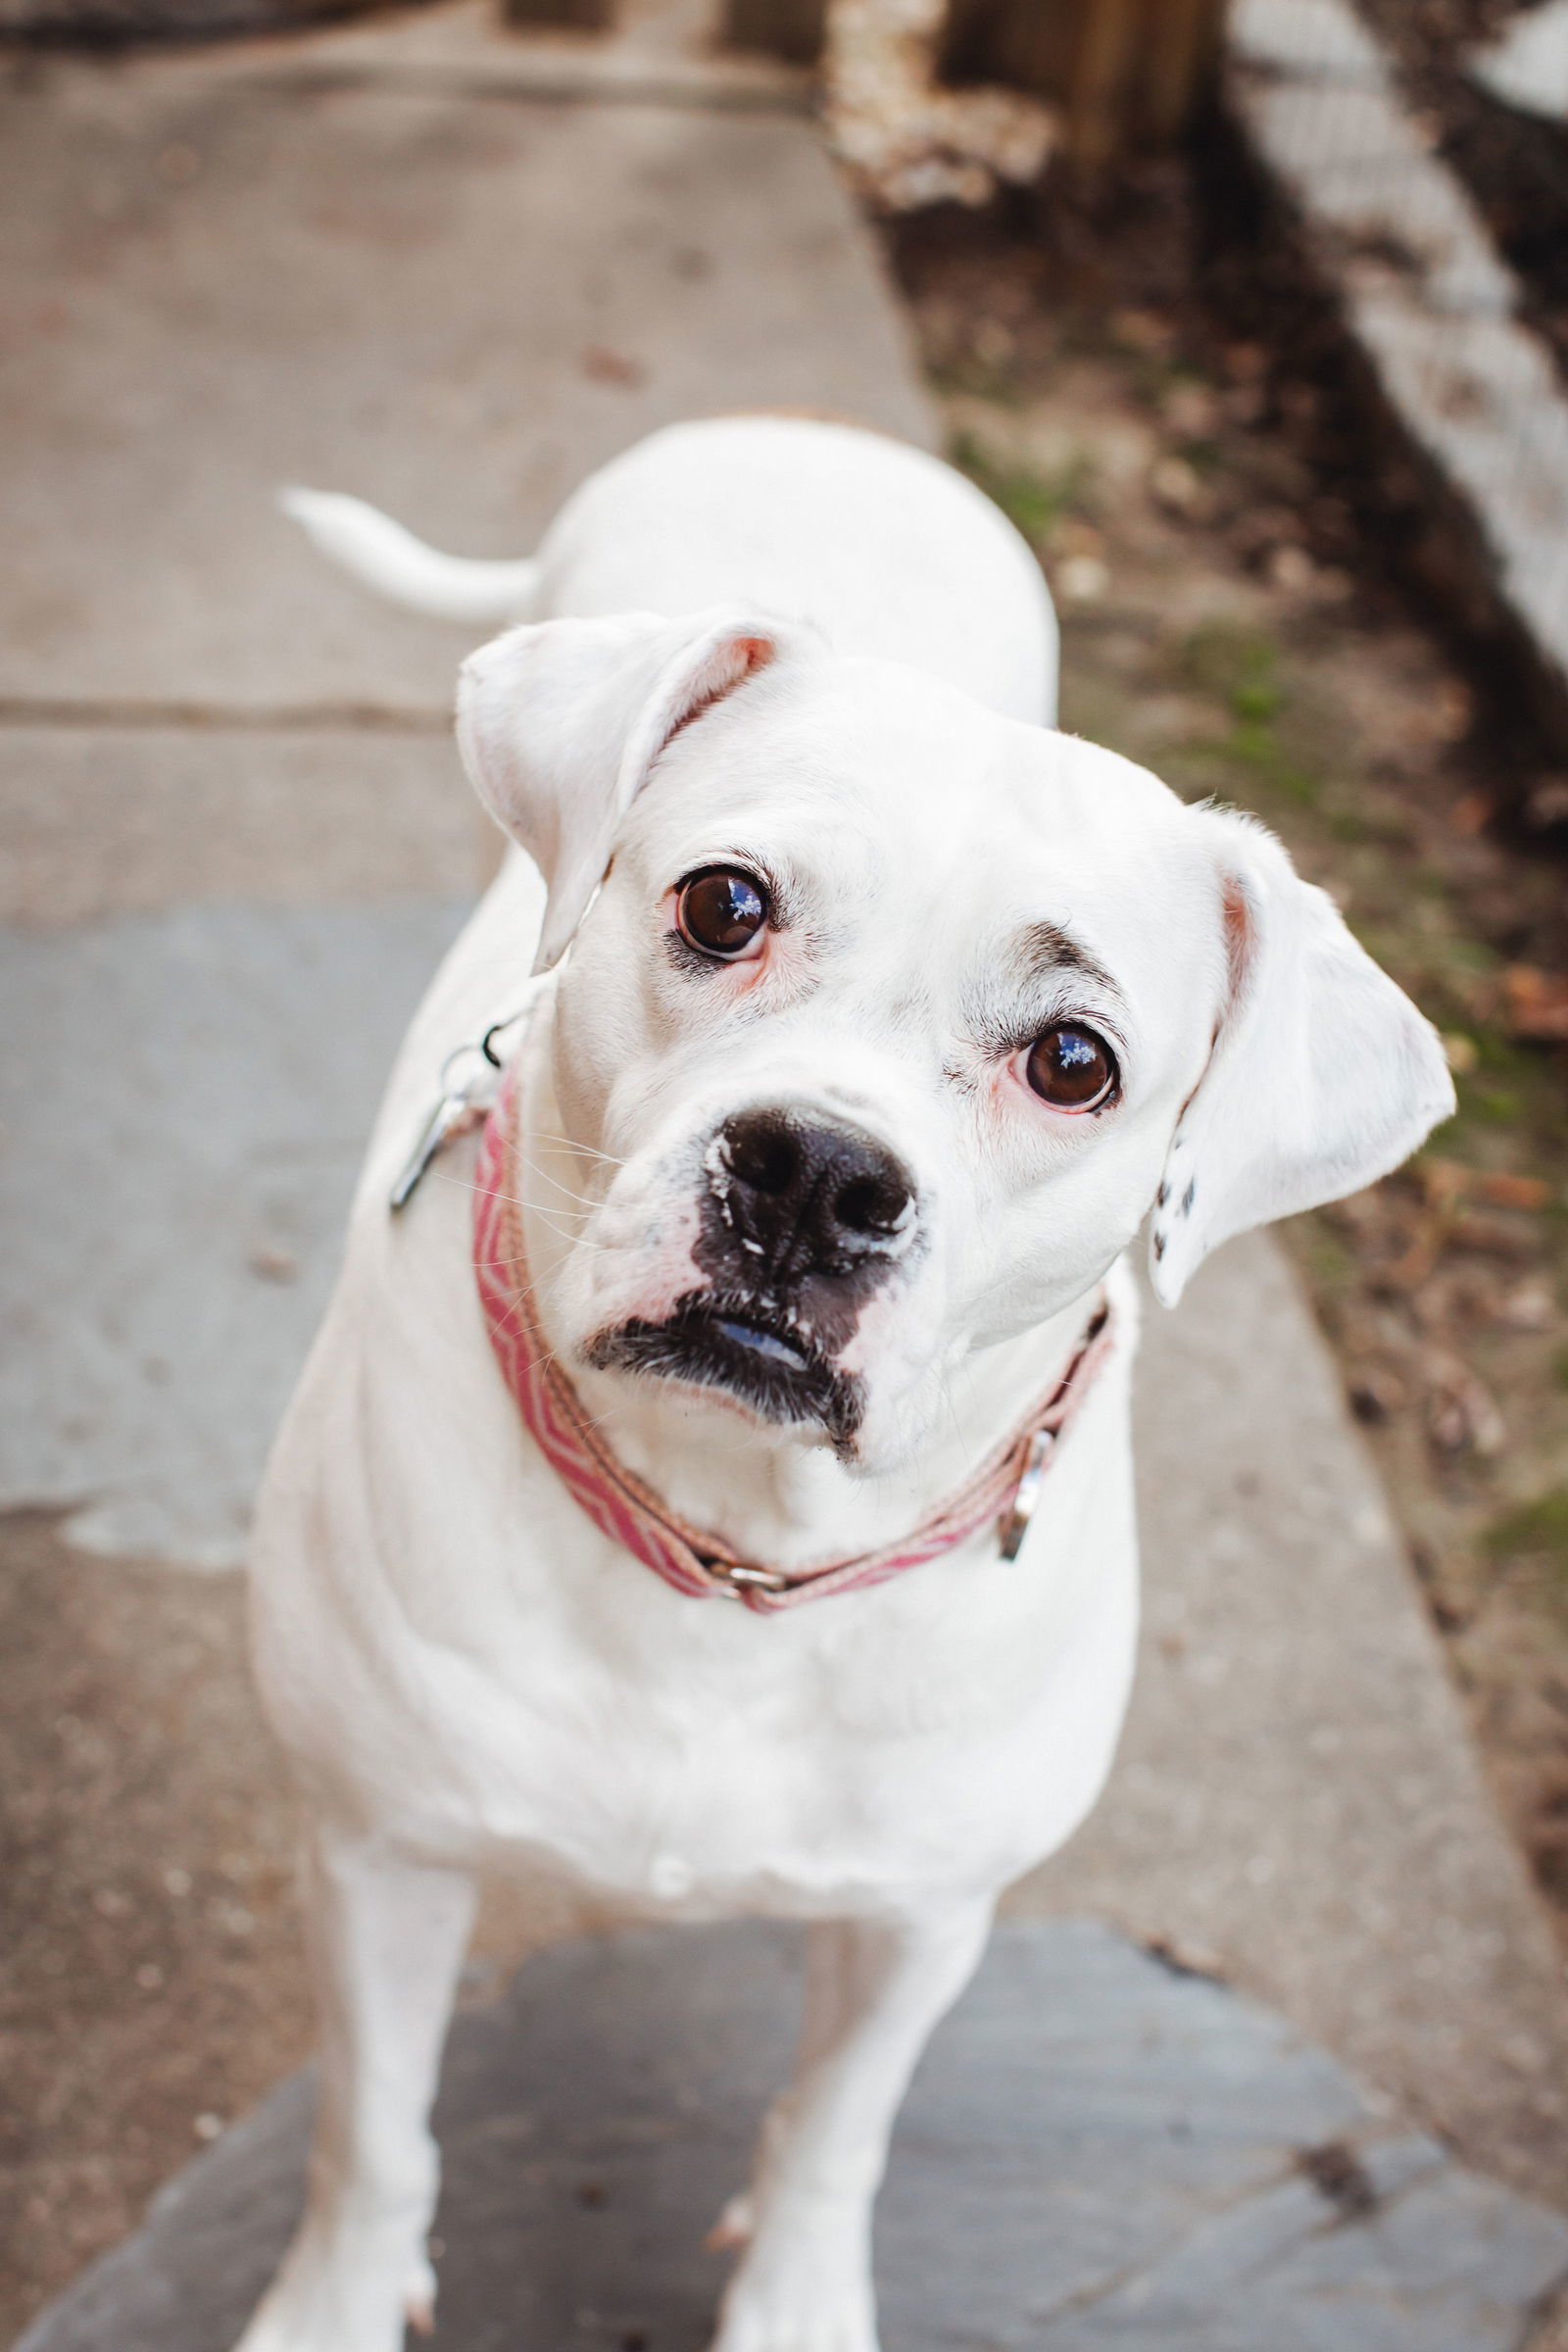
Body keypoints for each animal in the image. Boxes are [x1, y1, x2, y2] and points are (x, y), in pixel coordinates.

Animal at [251, 418, 1457, 2352]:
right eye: (723, 903)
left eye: (1075, 1061)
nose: (816, 1173)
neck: (733, 1542)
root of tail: (821, 431)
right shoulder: (376, 1851)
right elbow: (373, 2128)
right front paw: (335, 2303)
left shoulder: (921, 1919)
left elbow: (835, 2127)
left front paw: (800, 2295)